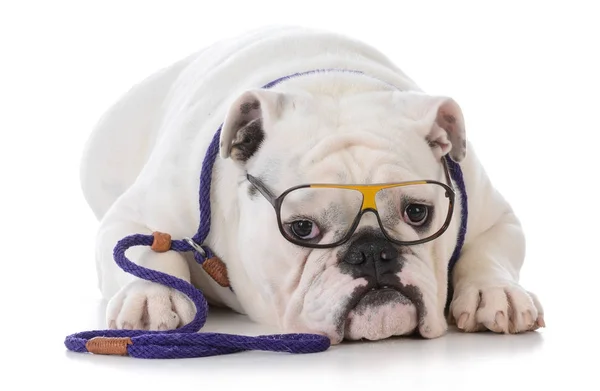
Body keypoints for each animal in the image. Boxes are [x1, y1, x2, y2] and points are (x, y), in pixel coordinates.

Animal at [79, 26, 544, 344]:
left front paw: (495, 293)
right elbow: (147, 249)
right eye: (302, 228)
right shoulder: (134, 215)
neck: (333, 89)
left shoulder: (493, 215)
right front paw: (150, 295)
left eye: (418, 213)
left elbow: (489, 253)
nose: (372, 252)